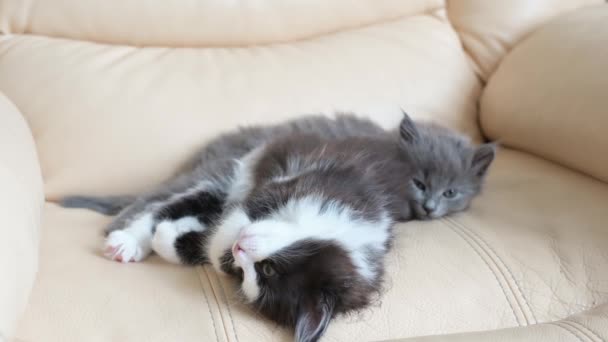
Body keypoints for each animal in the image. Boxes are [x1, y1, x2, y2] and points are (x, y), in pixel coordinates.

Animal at [60, 113, 494, 342]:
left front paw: (179, 242)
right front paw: (169, 235)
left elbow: (209, 241)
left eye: (260, 274)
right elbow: (236, 215)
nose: (242, 250)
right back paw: (127, 240)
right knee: (164, 198)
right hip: (237, 164)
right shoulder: (303, 184)